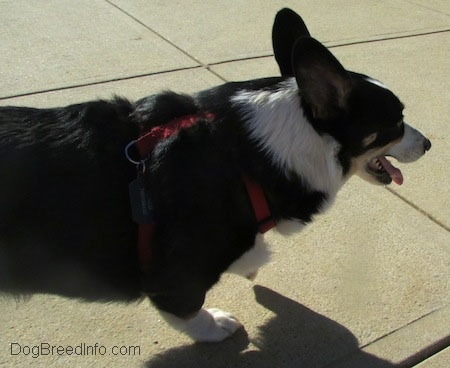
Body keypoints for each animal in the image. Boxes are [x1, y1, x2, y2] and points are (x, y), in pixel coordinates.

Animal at [0, 8, 430, 342]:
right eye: (395, 123)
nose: (428, 144)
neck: (247, 155)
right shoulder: (173, 278)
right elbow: (189, 308)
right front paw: (216, 326)